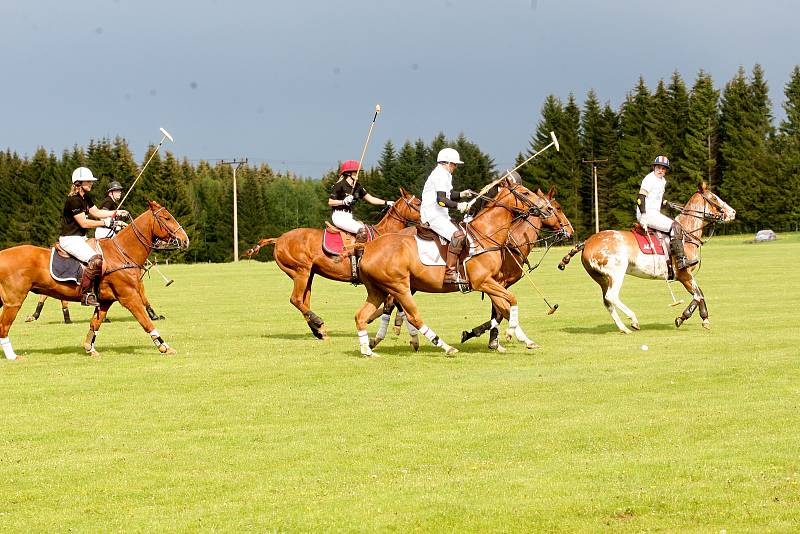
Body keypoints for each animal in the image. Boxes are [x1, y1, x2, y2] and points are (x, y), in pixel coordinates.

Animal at [0, 203, 189, 362]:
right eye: (166, 218)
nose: (186, 240)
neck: (122, 253)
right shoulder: (129, 297)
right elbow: (145, 322)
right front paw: (165, 347)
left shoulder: (105, 301)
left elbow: (95, 323)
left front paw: (89, 348)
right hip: (13, 301)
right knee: (4, 326)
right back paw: (13, 356)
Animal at [244, 188, 422, 340]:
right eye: (418, 203)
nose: (426, 221)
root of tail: (278, 239)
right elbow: (393, 302)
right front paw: (388, 324)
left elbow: (394, 303)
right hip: (300, 271)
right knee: (296, 299)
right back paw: (318, 322)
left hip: (308, 274)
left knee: (304, 301)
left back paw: (318, 330)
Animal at [354, 178, 560, 358]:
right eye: (525, 192)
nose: (548, 208)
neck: (485, 235)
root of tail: (368, 248)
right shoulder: (482, 281)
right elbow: (511, 300)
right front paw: (508, 334)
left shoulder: (492, 282)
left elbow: (504, 309)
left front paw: (526, 340)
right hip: (399, 286)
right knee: (413, 316)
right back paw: (445, 347)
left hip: (379, 289)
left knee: (361, 316)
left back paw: (368, 350)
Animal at [556, 184, 736, 336]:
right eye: (714, 198)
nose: (733, 212)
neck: (686, 234)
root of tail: (587, 242)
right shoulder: (684, 275)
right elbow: (698, 295)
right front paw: (681, 318)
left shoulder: (687, 276)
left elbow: (701, 294)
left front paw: (705, 319)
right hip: (616, 272)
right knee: (612, 296)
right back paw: (633, 320)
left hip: (601, 278)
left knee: (607, 301)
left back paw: (623, 328)